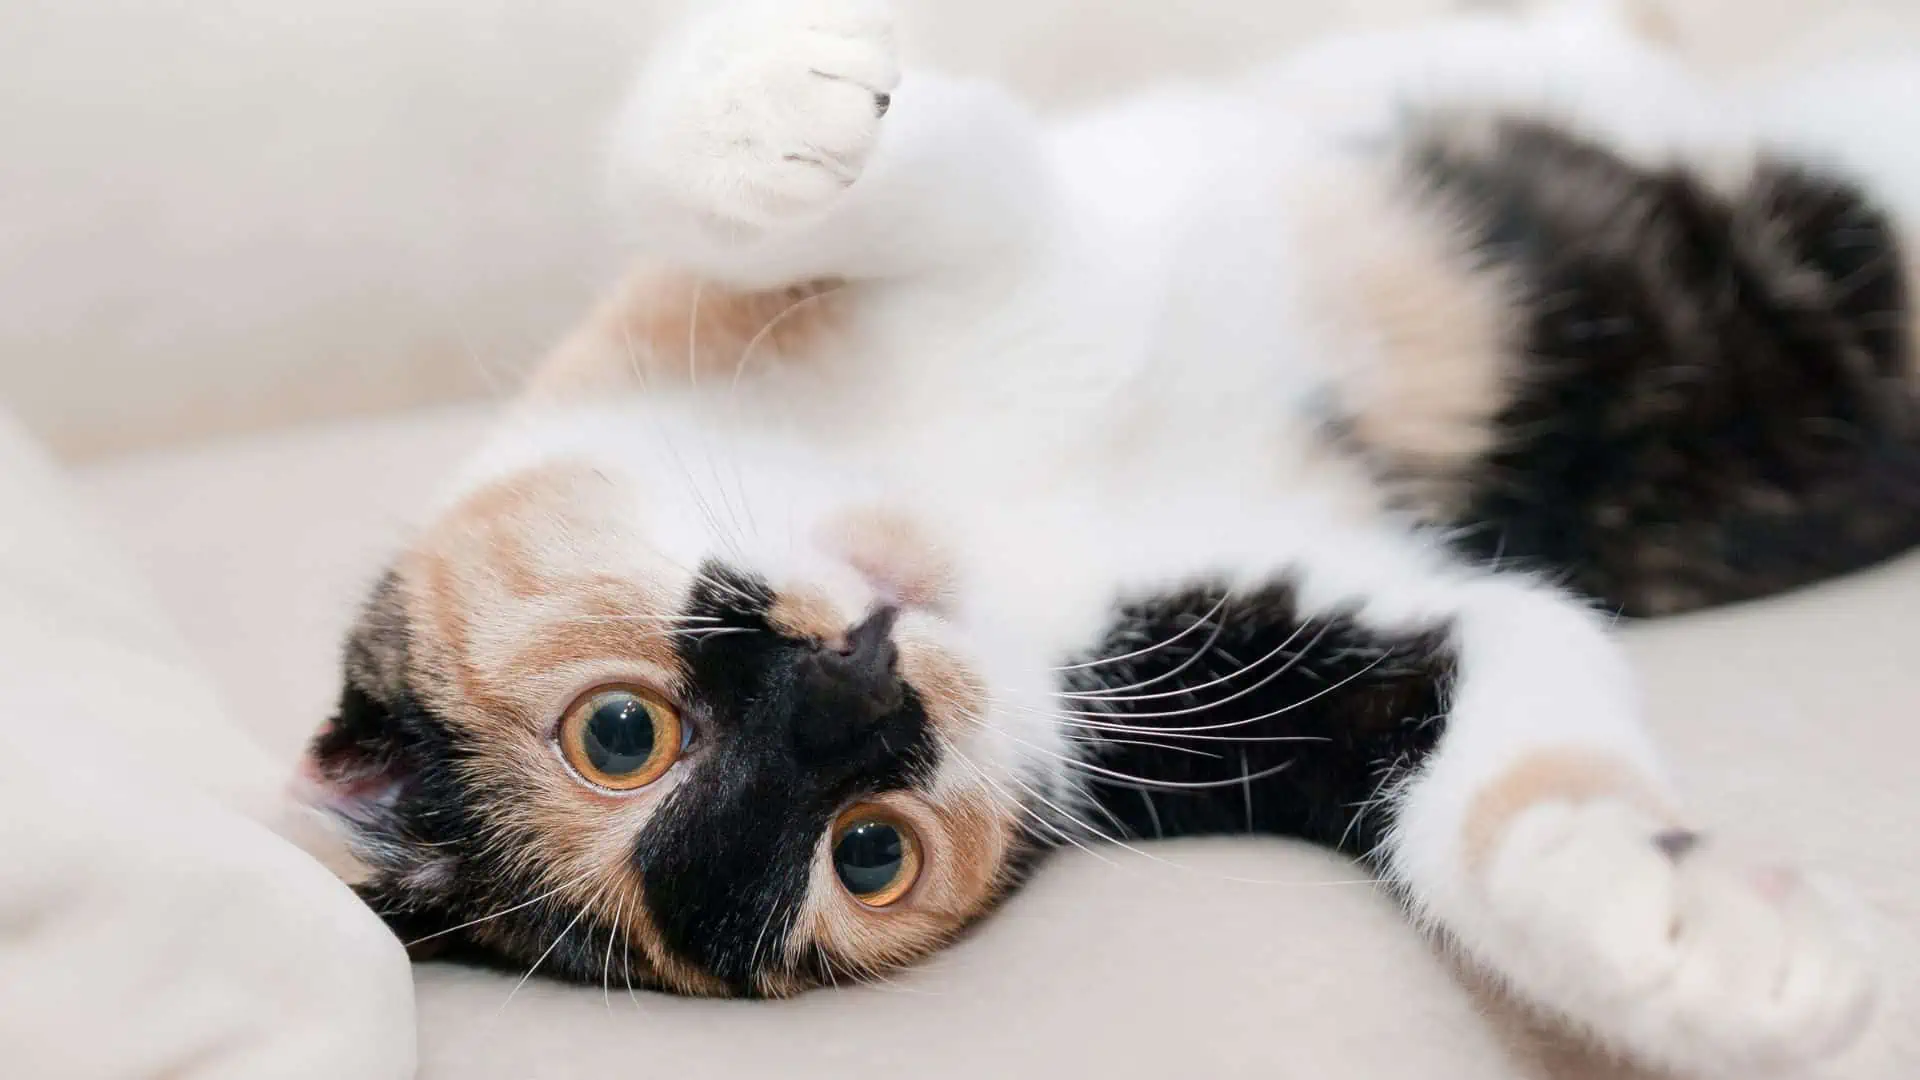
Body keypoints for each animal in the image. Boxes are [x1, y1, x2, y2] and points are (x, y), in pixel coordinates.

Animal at [299, 0, 1920, 1068]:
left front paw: (765, 116)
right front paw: (1677, 921)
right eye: (868, 854)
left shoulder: (880, 256)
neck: (975, 506)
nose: (860, 698)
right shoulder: (1266, 653)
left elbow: (765, 183)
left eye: (619, 735)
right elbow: (1496, 727)